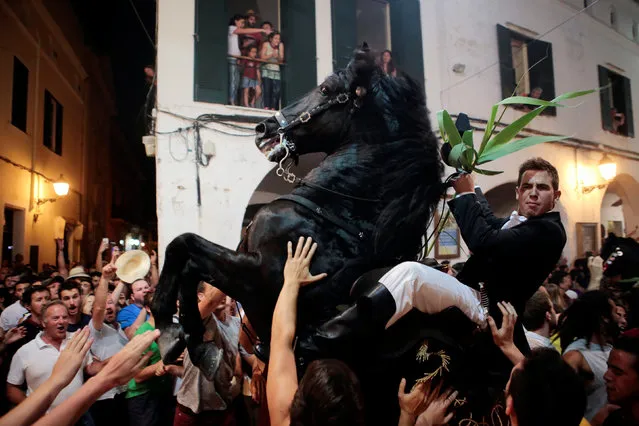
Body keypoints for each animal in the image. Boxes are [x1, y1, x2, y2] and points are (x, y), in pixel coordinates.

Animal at [154, 45, 444, 380]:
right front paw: (192, 338)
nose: (263, 128)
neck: (334, 211)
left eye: (326, 89)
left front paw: (168, 330)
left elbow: (182, 245)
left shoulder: (256, 277)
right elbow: (187, 261)